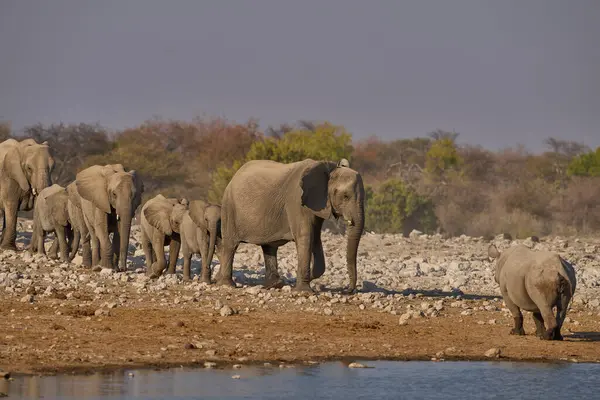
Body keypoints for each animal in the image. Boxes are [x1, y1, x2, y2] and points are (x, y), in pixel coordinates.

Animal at [218, 158, 364, 292]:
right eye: (345, 196)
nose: (348, 290)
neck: (329, 168)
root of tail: (234, 175)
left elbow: (316, 238)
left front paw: (305, 280)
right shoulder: (296, 201)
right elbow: (306, 236)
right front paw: (303, 291)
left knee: (269, 247)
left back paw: (274, 285)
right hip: (229, 207)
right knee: (231, 245)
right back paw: (227, 285)